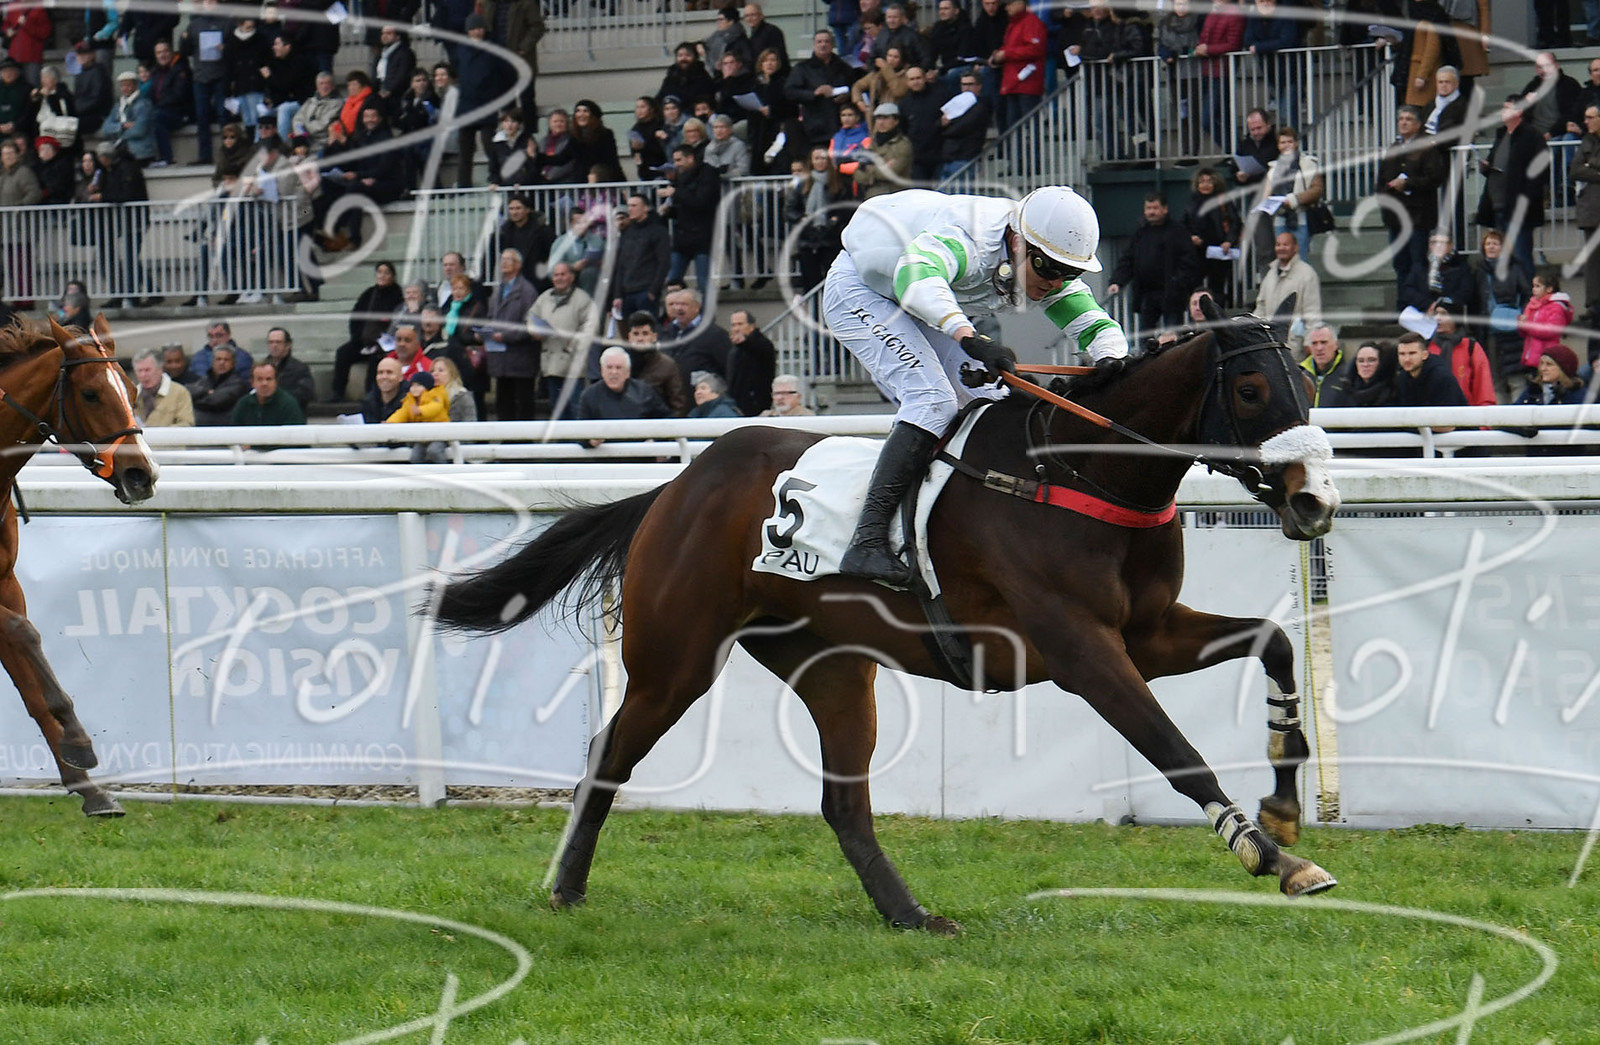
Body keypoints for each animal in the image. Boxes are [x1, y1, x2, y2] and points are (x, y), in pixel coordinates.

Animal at [0, 315, 159, 817]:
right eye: (90, 394)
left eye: (132, 388)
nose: (142, 475)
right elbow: (26, 633)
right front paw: (79, 740)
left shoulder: (6, 582)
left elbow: (28, 680)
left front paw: (86, 783)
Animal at [434, 296, 1341, 933]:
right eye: (1252, 389)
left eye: (1309, 383)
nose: (1316, 502)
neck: (1081, 474)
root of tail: (673, 488)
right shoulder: (1080, 650)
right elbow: (1175, 750)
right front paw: (1269, 853)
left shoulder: (1146, 632)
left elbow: (1273, 643)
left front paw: (1284, 804)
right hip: (677, 659)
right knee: (609, 752)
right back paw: (566, 885)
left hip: (832, 667)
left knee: (844, 803)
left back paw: (910, 912)